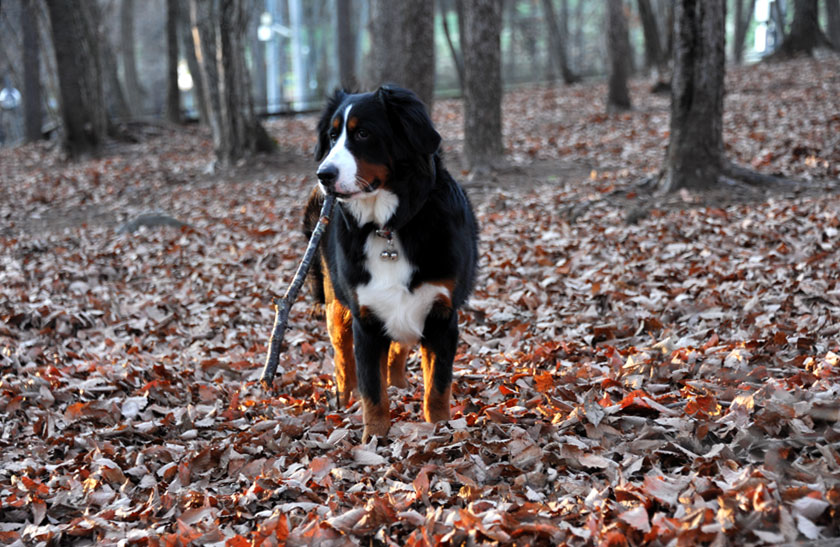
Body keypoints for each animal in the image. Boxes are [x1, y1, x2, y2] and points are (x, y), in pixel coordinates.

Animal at [304, 86, 480, 446]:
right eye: (332, 136)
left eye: (362, 133)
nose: (324, 174)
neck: (388, 228)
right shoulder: (366, 318)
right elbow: (372, 387)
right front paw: (374, 435)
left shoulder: (441, 315)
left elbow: (437, 385)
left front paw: (441, 429)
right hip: (337, 309)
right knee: (344, 362)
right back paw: (345, 401)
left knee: (398, 350)